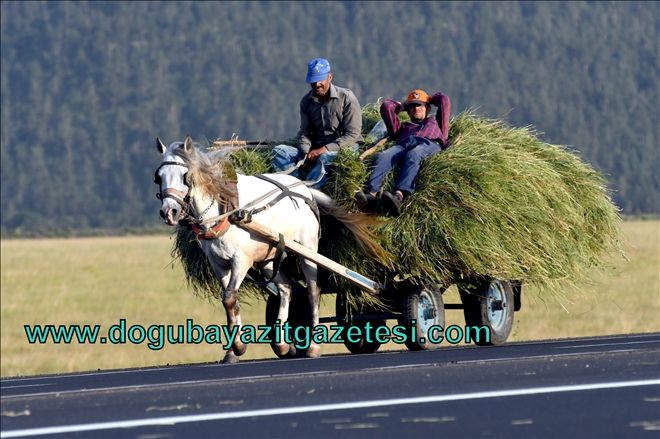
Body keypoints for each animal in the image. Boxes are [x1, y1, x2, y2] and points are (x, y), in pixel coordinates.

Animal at [154, 138, 382, 364]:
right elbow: (231, 301)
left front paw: (238, 347)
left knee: (312, 292)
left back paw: (313, 347)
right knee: (286, 289)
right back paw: (283, 345)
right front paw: (232, 351)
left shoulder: (241, 260)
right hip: (267, 259)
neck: (224, 210)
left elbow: (229, 298)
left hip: (307, 250)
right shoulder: (219, 264)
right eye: (159, 177)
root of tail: (305, 189)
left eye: (185, 176)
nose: (169, 212)